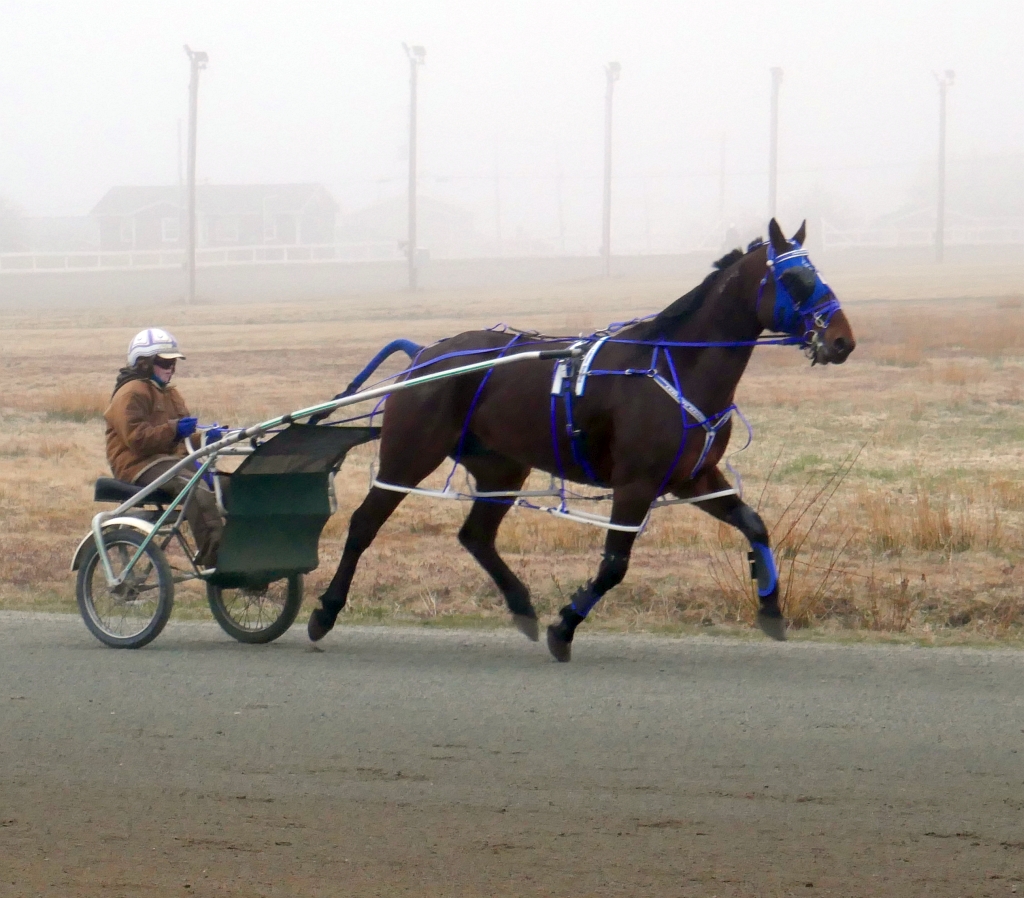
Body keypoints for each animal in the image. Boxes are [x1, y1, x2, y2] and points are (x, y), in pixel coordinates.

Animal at [307, 221, 851, 663]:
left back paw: (522, 606)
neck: (677, 364)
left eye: (818, 274)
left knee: (476, 536)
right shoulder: (636, 484)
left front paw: (771, 607)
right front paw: (564, 627)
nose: (843, 340)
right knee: (363, 524)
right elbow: (613, 566)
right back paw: (325, 612)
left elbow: (755, 525)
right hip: (408, 455)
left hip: (502, 467)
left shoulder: (694, 477)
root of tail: (424, 354)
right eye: (797, 280)